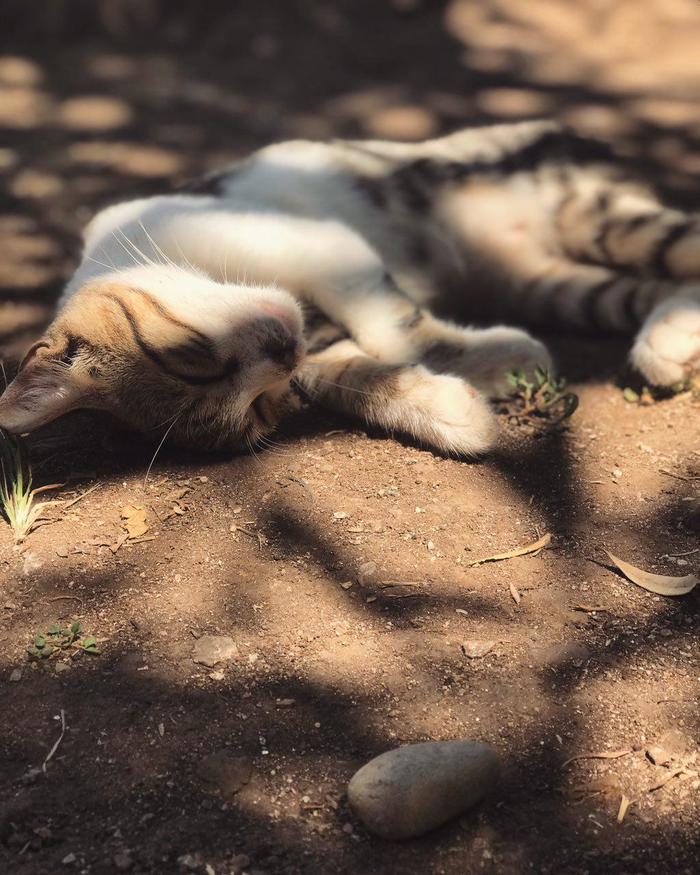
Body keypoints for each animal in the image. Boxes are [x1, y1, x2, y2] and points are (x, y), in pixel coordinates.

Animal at [1, 119, 700, 456]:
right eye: (262, 410)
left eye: (191, 358)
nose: (282, 352)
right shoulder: (319, 338)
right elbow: (361, 375)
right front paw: (462, 410)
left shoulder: (322, 245)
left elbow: (396, 321)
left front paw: (495, 361)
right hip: (548, 283)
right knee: (643, 290)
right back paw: (667, 344)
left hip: (592, 211)